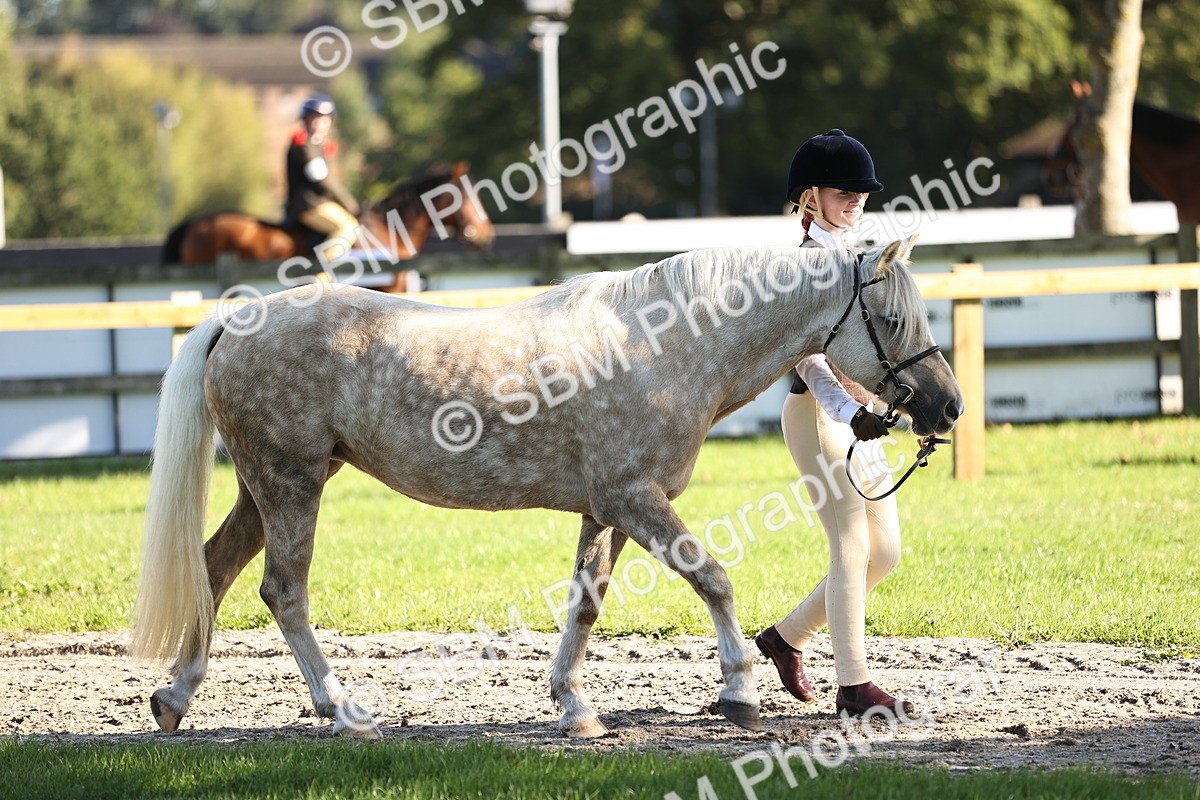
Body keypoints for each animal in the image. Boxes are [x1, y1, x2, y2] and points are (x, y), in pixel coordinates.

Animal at [129, 237, 962, 739]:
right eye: (891, 318)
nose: (947, 406)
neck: (664, 343)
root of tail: (237, 321)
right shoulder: (635, 499)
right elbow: (714, 579)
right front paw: (738, 694)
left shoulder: (607, 510)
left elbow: (586, 604)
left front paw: (575, 708)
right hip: (291, 483)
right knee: (283, 591)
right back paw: (344, 710)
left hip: (268, 486)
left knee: (214, 569)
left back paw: (174, 700)